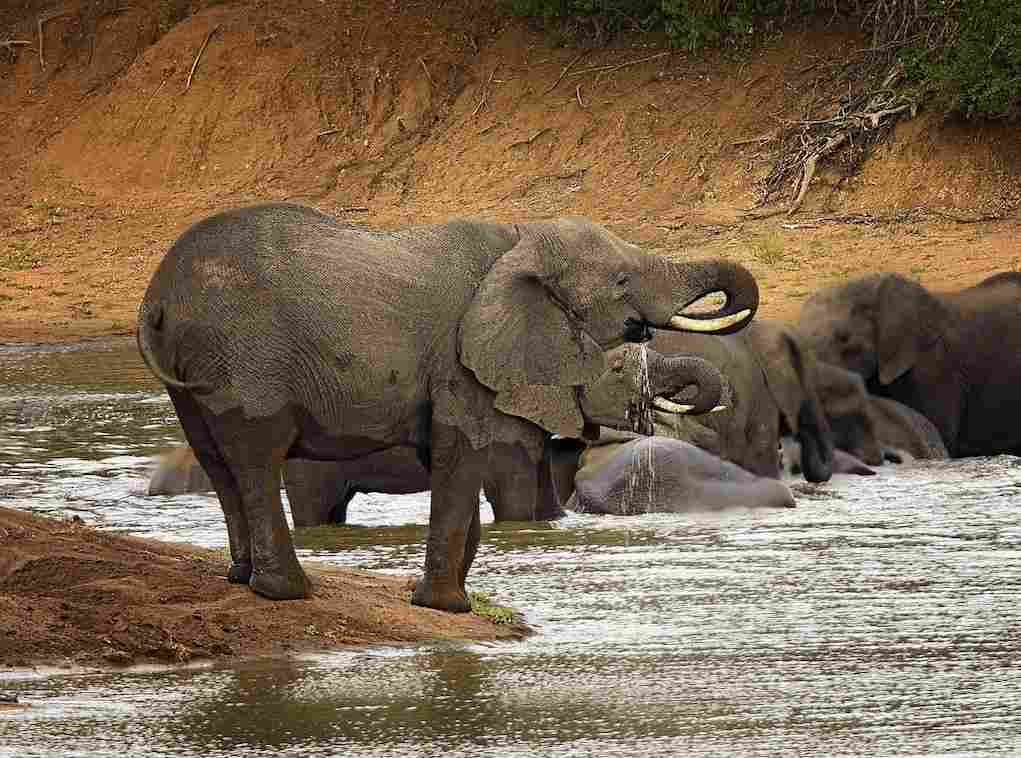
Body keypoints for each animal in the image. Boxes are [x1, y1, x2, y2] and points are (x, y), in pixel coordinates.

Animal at [136, 203, 758, 610]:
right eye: (622, 279)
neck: (519, 237)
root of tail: (157, 297)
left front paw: (457, 598)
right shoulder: (465, 359)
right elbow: (467, 454)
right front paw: (444, 607)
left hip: (196, 372)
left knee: (217, 458)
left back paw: (240, 579)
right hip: (245, 356)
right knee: (257, 456)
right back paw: (286, 592)